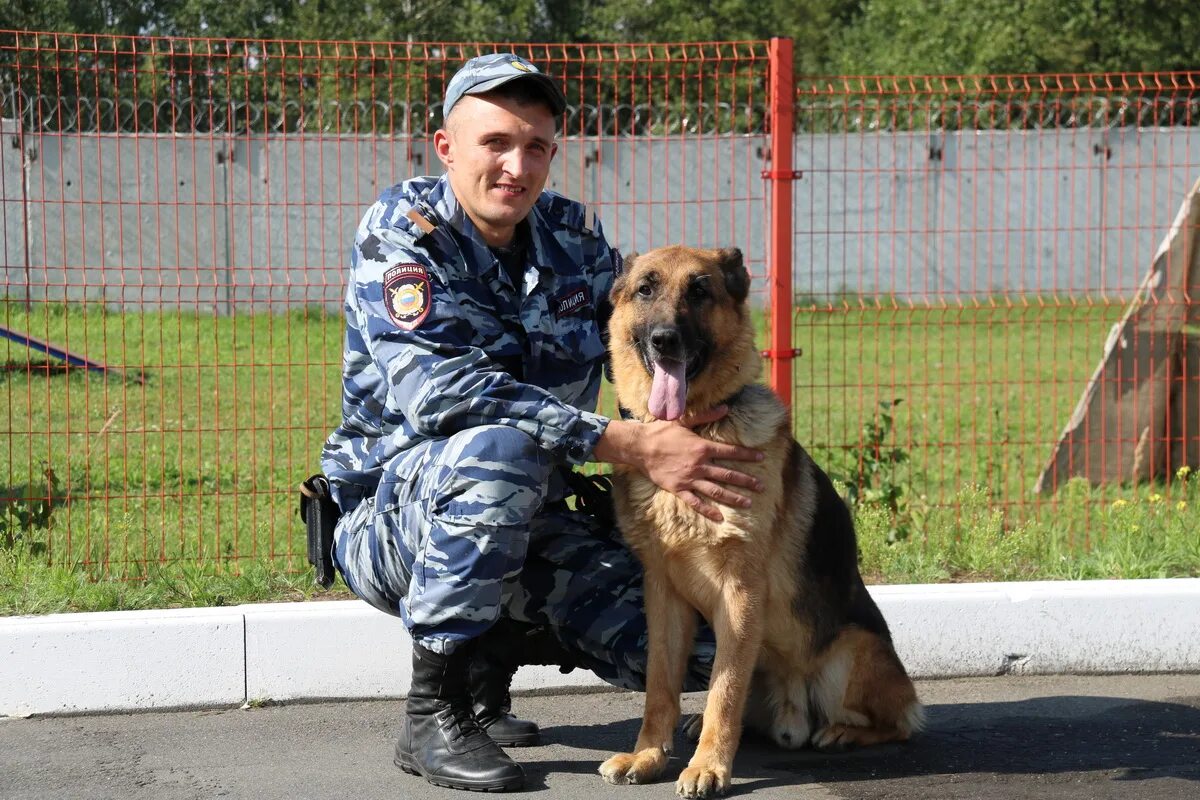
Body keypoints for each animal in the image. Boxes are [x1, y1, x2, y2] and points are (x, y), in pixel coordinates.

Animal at [597, 247, 916, 796]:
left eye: (700, 291)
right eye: (646, 289)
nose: (665, 339)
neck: (692, 429)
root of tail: (795, 712)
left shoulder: (740, 590)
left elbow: (724, 690)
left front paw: (707, 767)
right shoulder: (663, 595)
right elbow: (661, 685)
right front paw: (648, 756)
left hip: (850, 654)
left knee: (900, 721)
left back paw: (841, 732)